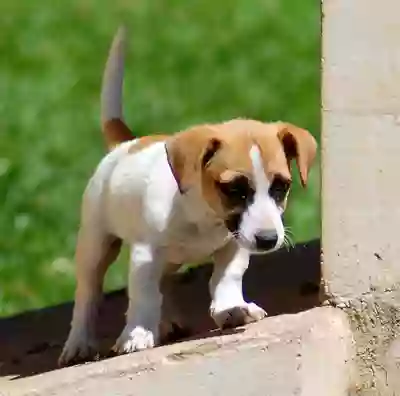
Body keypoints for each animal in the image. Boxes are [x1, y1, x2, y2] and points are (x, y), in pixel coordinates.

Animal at [57, 27, 318, 366]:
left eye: (281, 186)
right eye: (234, 189)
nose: (267, 240)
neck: (203, 215)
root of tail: (125, 144)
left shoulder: (234, 245)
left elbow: (227, 277)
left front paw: (231, 308)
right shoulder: (146, 254)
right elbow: (143, 295)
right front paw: (138, 333)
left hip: (167, 259)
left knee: (164, 284)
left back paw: (168, 321)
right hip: (96, 244)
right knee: (88, 294)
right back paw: (79, 343)